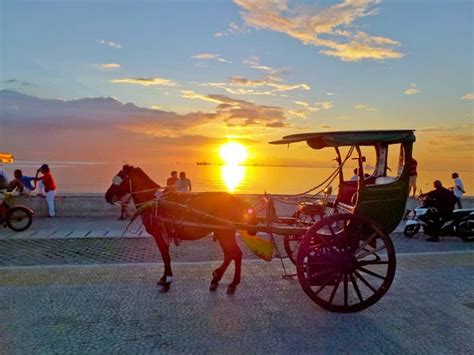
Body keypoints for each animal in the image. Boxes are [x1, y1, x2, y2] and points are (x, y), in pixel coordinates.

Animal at [105, 165, 258, 294]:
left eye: (117, 180)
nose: (107, 196)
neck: (154, 202)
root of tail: (236, 200)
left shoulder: (159, 234)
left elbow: (166, 256)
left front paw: (167, 281)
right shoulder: (163, 235)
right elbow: (165, 256)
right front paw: (163, 278)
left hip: (225, 233)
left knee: (235, 254)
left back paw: (232, 283)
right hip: (223, 233)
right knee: (229, 254)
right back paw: (216, 278)